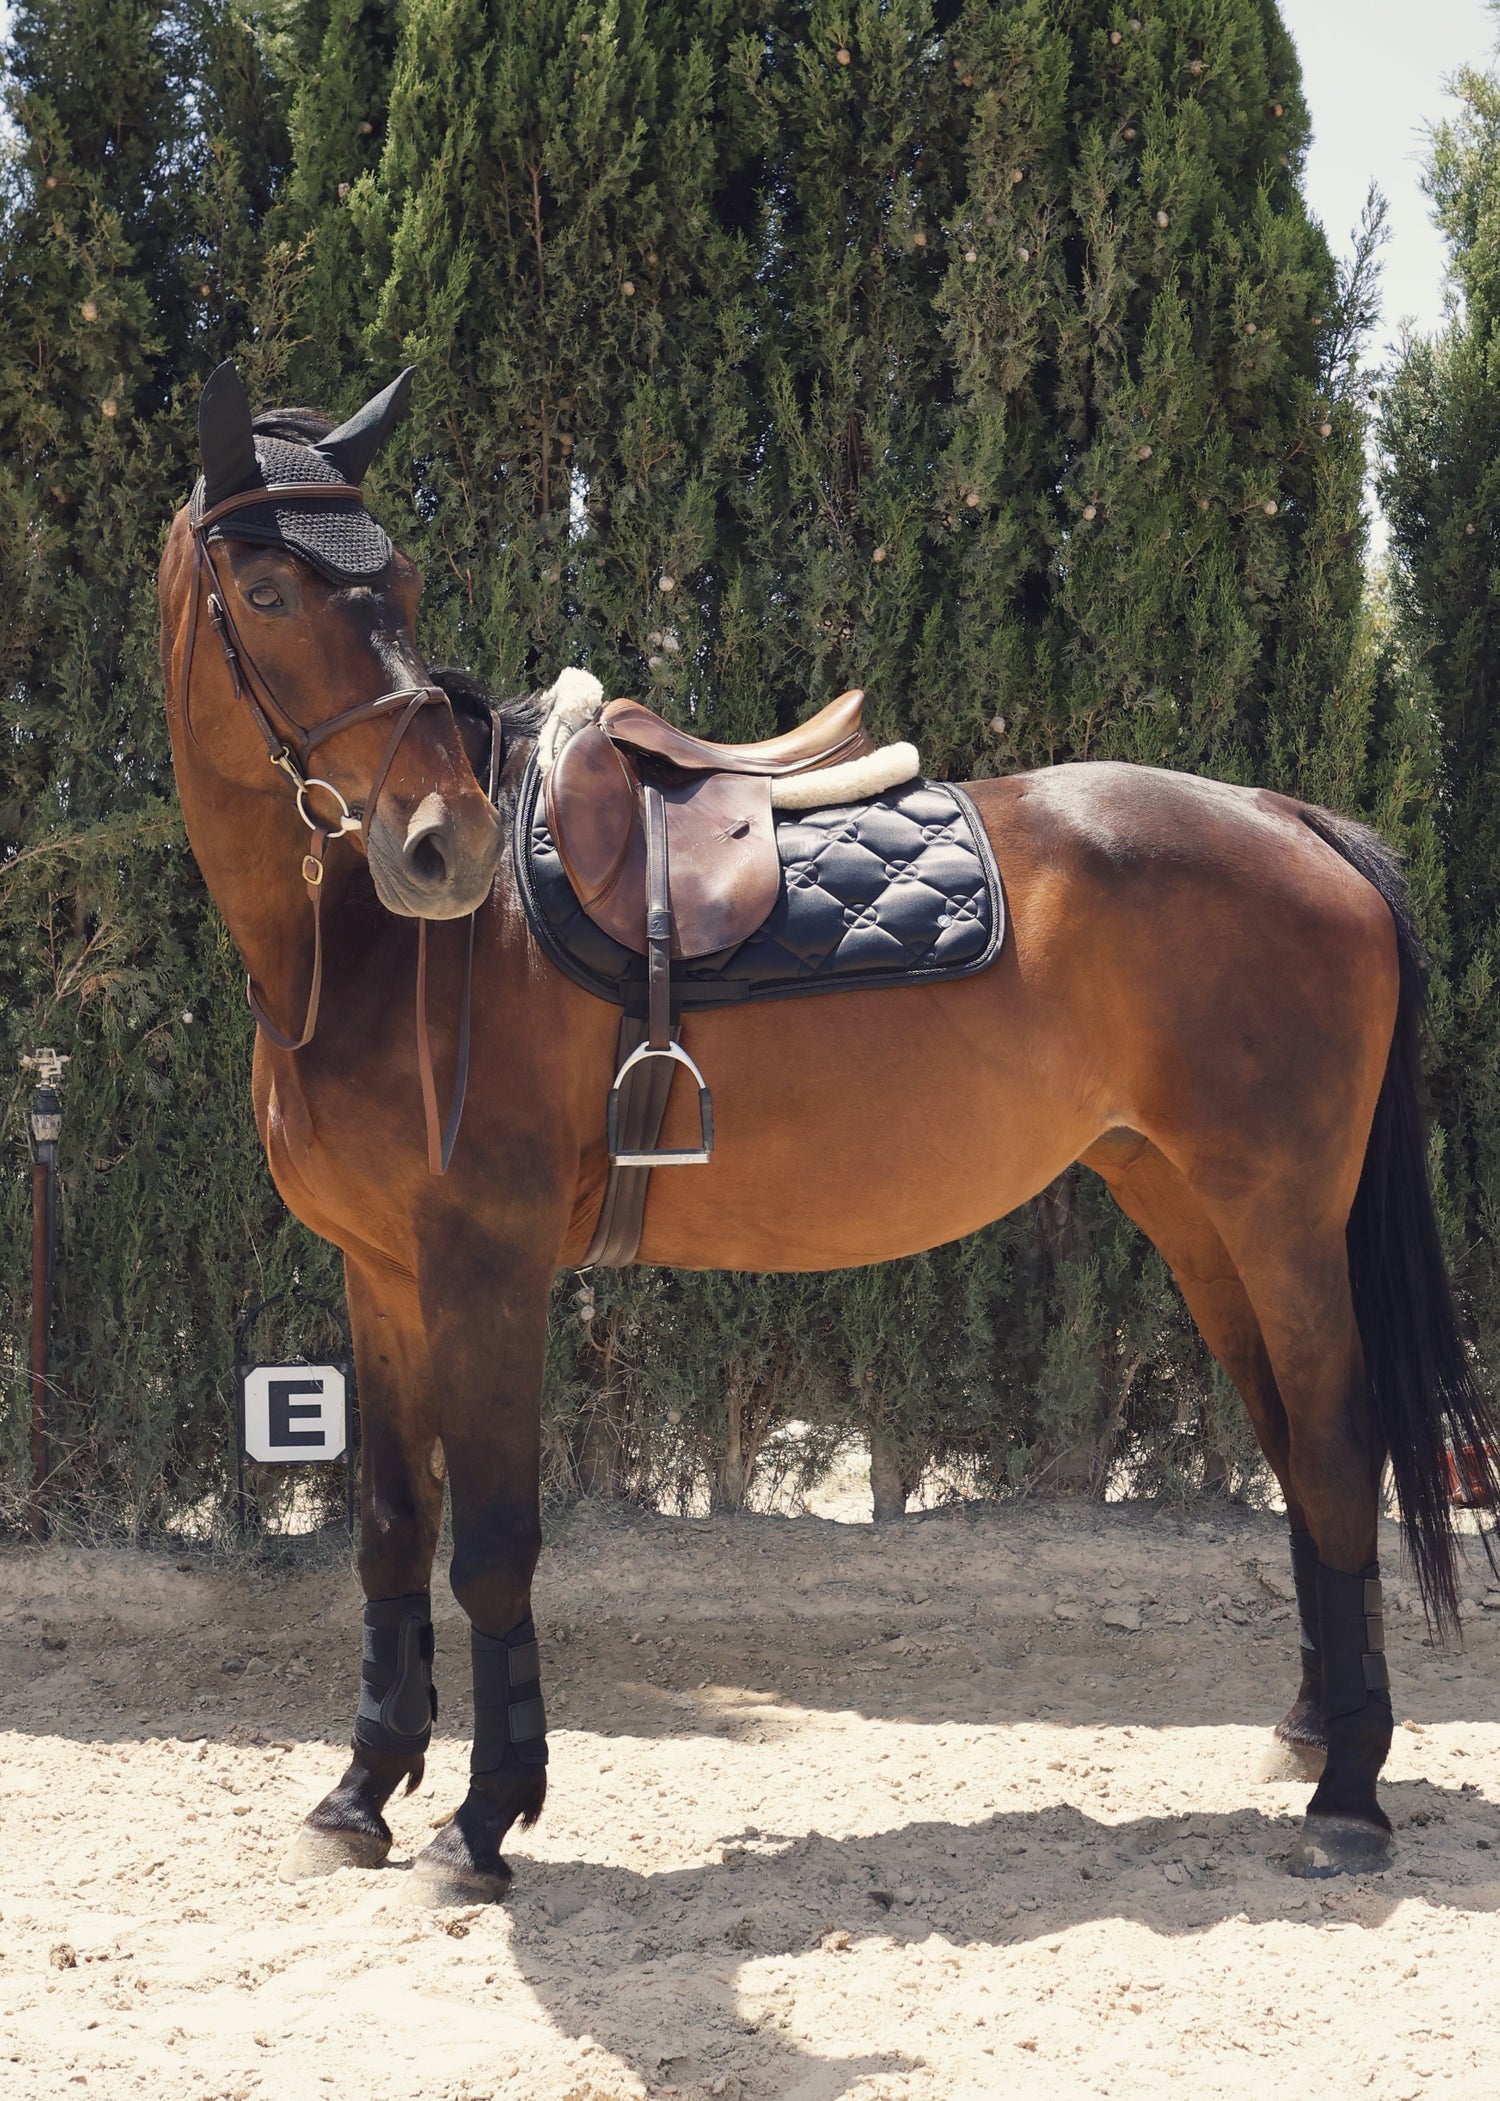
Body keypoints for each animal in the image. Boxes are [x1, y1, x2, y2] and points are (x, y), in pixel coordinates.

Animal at [158, 363, 1496, 1902]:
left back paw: (1349, 1795)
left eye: (405, 582)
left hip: (1281, 1217)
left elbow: (490, 1545)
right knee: (1295, 1450)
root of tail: (1293, 819)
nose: (443, 847)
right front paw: (359, 1790)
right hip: (1195, 1210)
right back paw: (1313, 1733)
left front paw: (483, 1819)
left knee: (1338, 1451)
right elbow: (389, 1531)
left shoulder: (484, 1266)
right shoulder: (379, 1275)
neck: (370, 954)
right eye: (267, 588)